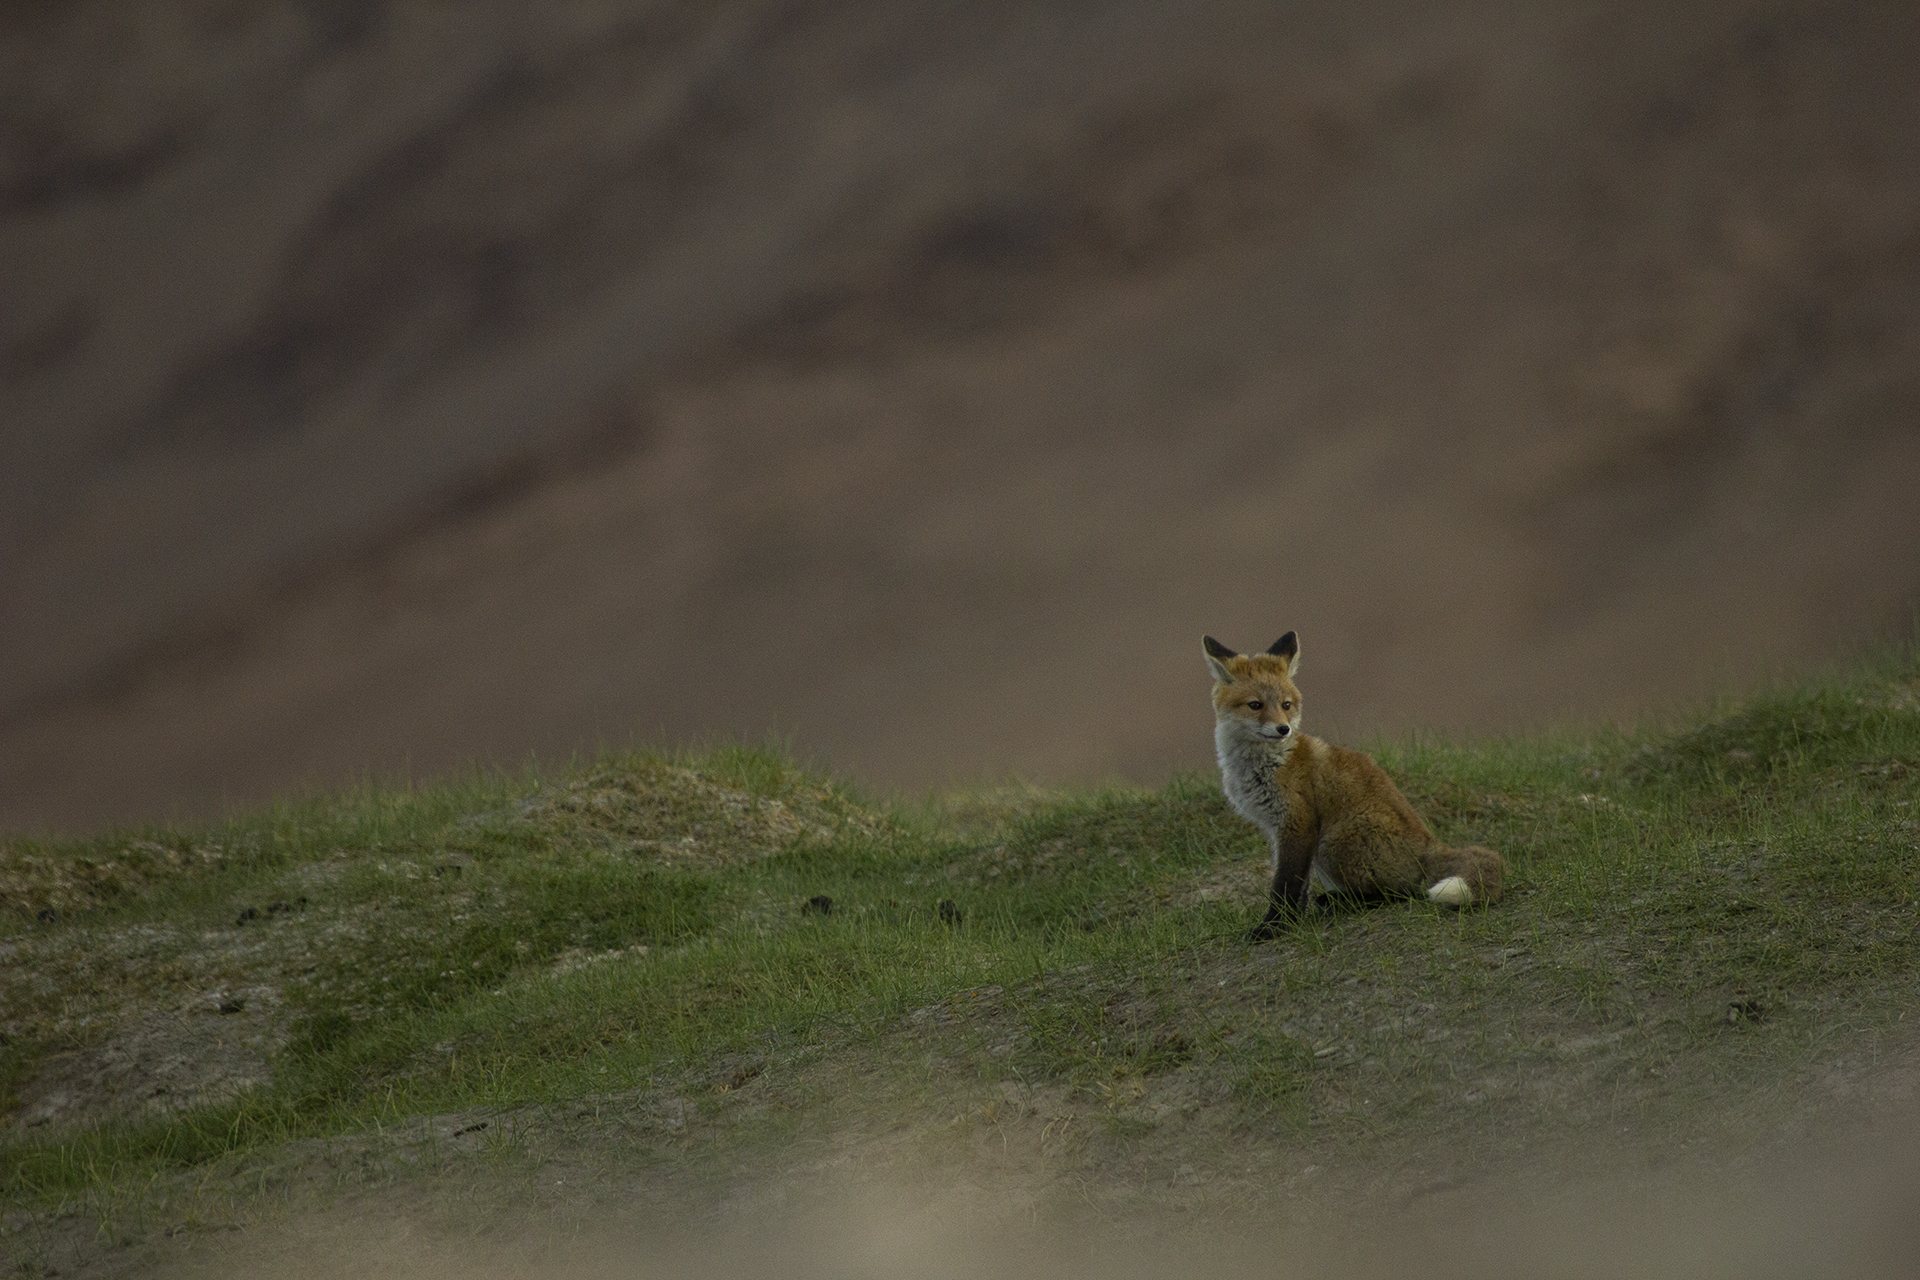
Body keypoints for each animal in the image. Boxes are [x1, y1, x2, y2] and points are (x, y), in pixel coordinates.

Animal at [1204, 631, 1504, 939]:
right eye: (1255, 705)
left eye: (1286, 705)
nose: (1283, 729)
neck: (1265, 765)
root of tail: (1431, 845)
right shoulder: (1280, 829)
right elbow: (1298, 886)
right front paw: (1293, 921)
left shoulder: (1299, 823)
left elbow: (1285, 886)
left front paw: (1273, 927)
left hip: (1331, 843)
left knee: (1401, 892)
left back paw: (1341, 902)